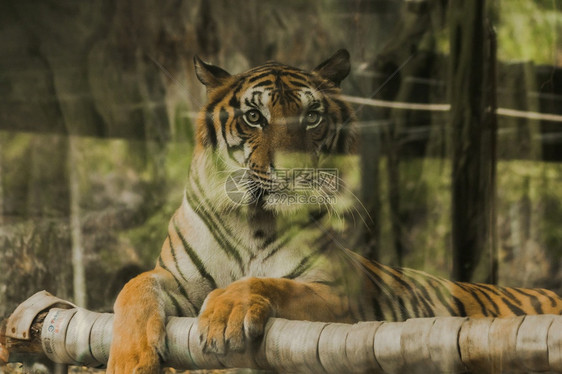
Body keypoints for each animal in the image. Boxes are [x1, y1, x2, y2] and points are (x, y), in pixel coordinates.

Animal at [107, 50, 560, 374]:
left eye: (312, 117)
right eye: (254, 117)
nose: (293, 171)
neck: (254, 221)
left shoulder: (339, 294)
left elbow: (268, 283)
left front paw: (226, 314)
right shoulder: (176, 279)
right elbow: (134, 287)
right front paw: (129, 361)